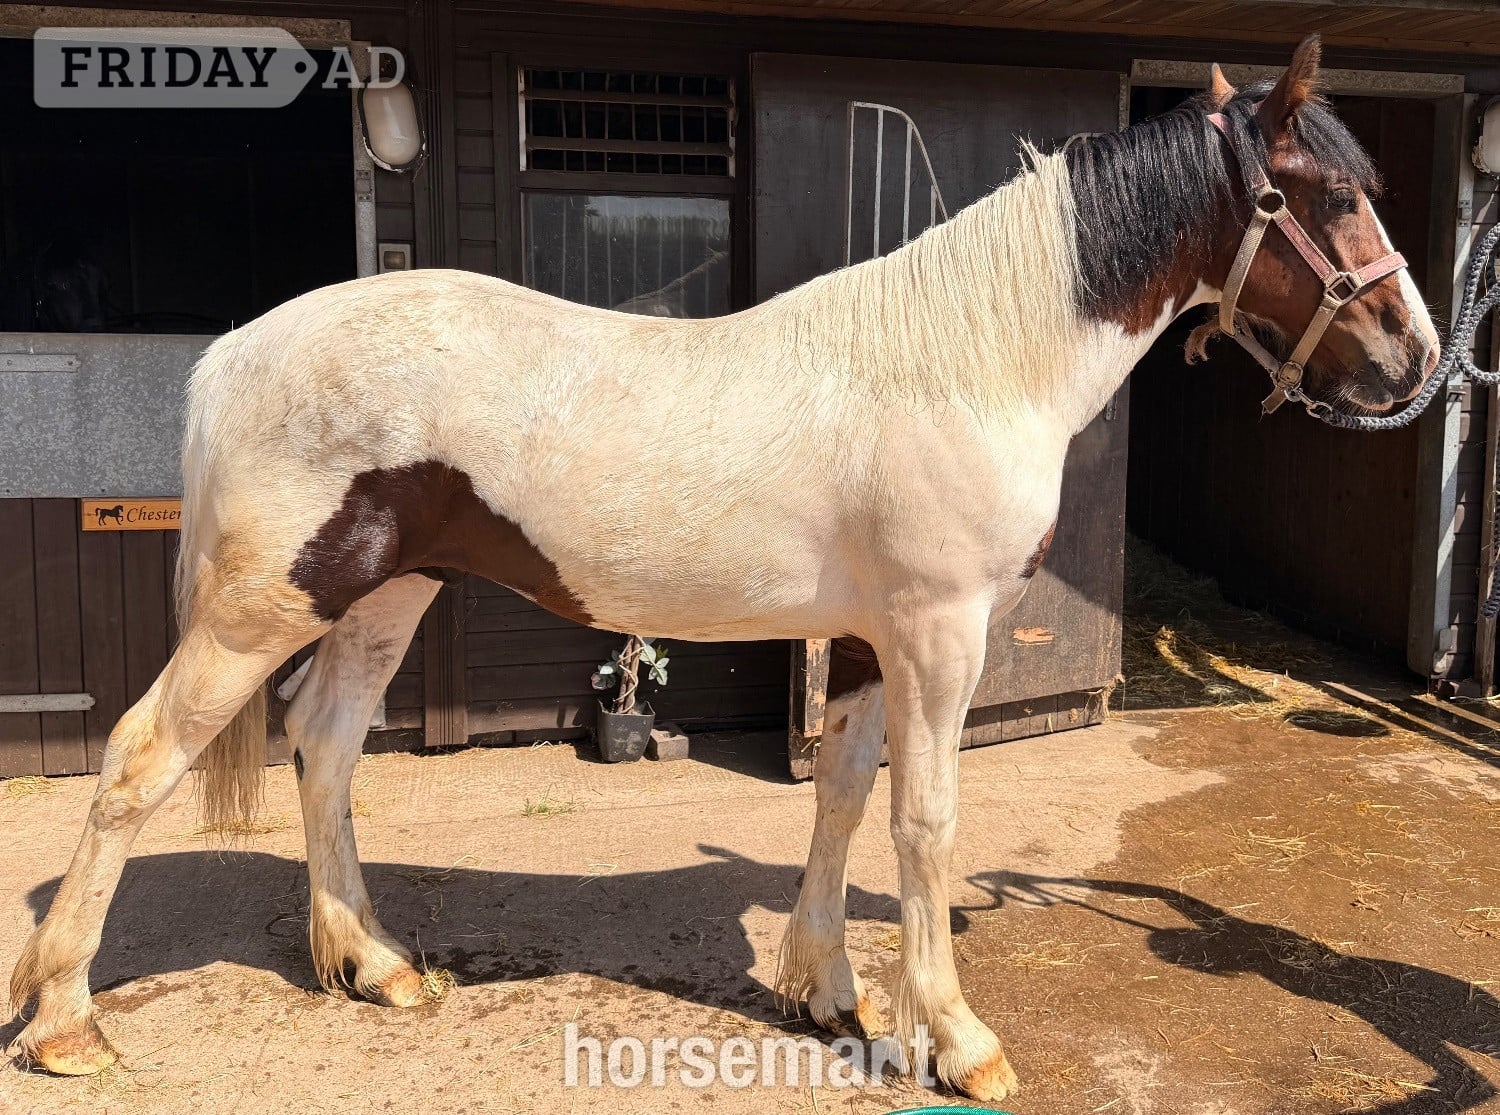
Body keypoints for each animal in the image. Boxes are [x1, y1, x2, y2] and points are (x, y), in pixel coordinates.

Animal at [7, 38, 1438, 1101]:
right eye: (1330, 194)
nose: (1415, 361)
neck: (965, 363)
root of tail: (239, 346)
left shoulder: (865, 640)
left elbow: (843, 799)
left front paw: (828, 991)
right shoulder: (940, 635)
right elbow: (924, 820)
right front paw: (957, 1037)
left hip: (385, 597)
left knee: (328, 744)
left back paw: (376, 961)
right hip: (265, 607)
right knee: (139, 759)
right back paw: (67, 1019)